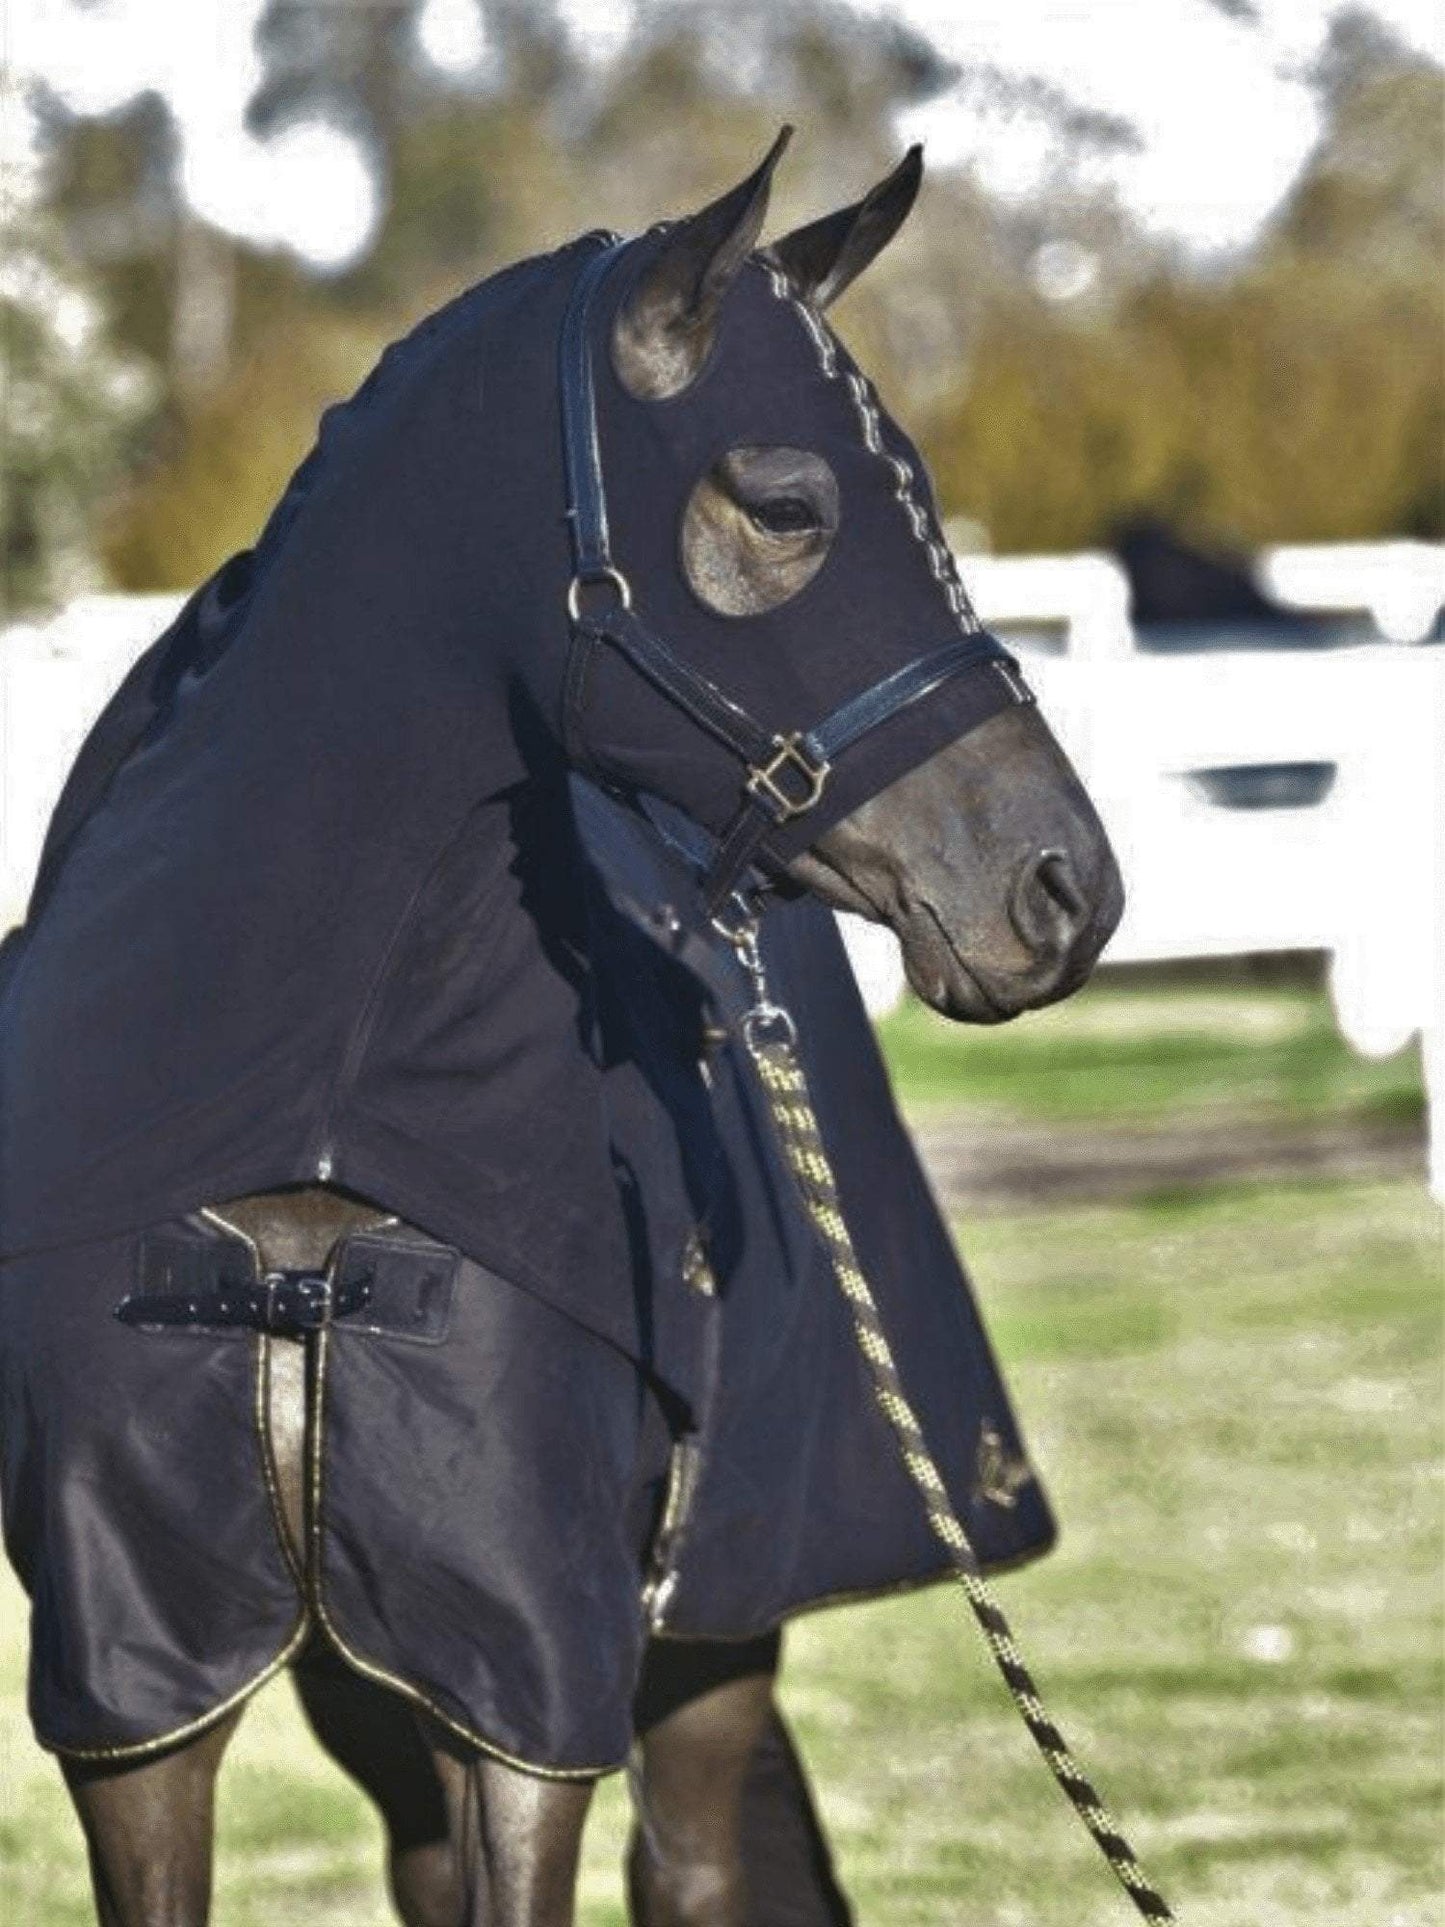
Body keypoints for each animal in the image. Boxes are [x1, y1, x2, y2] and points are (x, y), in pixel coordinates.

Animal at [0, 135, 1117, 1927]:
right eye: (789, 506)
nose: (1062, 886)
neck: (315, 1128)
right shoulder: (143, 1678)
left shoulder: (526, 1677)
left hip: (705, 1637)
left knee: (700, 1865)